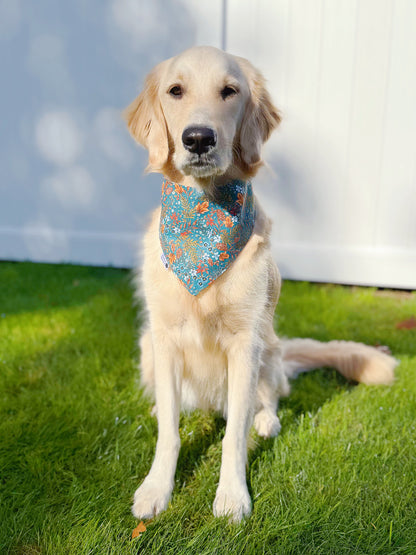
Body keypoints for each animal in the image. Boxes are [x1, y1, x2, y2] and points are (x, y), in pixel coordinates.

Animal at [123, 45, 396, 524]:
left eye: (229, 91)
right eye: (175, 91)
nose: (198, 138)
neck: (204, 214)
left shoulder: (245, 341)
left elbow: (234, 434)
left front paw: (232, 496)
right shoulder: (165, 336)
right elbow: (170, 432)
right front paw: (157, 487)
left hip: (269, 347)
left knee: (270, 398)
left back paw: (267, 421)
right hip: (147, 345)